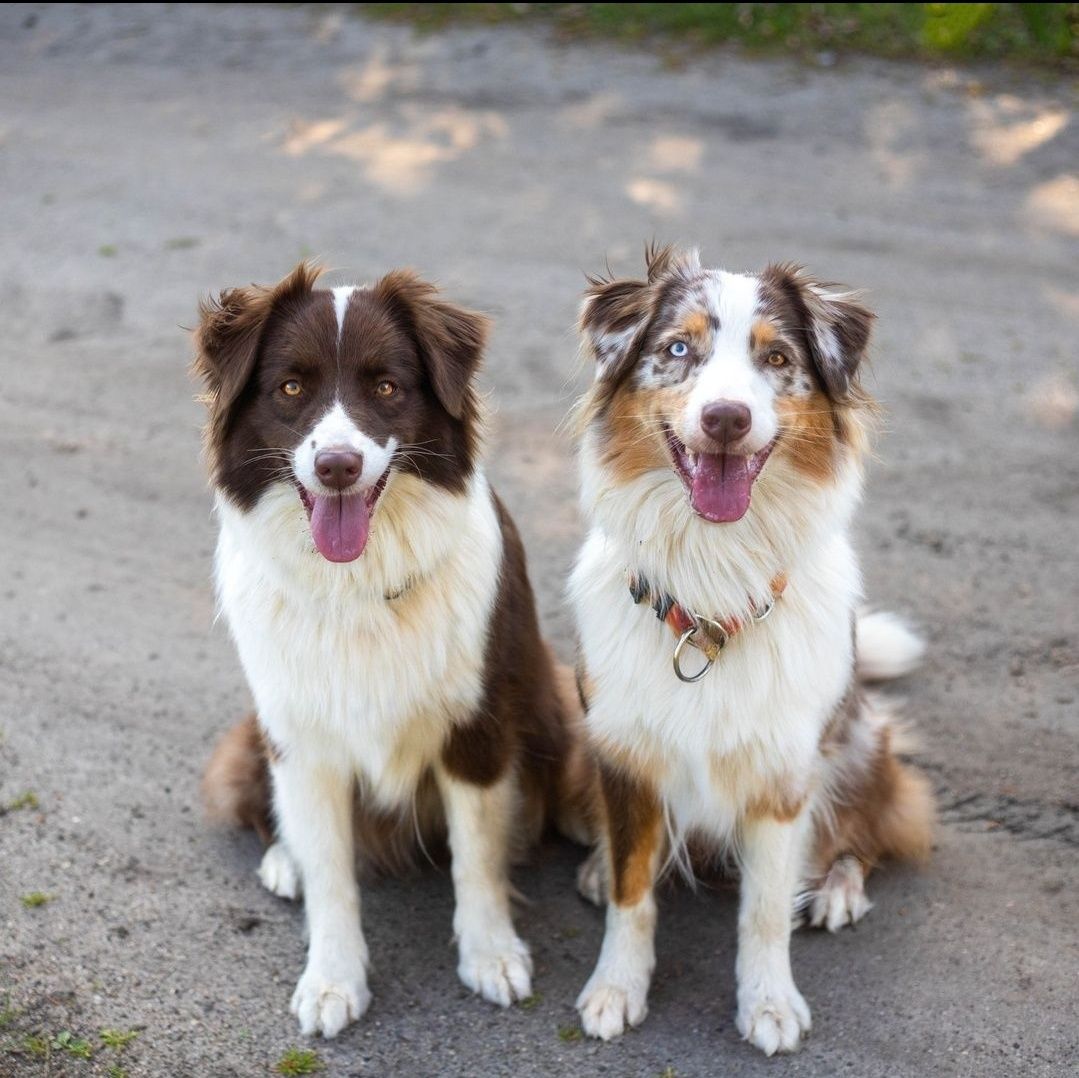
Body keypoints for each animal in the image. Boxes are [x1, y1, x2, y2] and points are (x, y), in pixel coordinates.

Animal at [197, 261, 595, 1035]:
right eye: (290, 388)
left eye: (386, 387)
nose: (338, 466)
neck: (355, 584)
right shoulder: (301, 737)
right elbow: (331, 872)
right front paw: (332, 978)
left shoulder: (476, 726)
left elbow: (476, 854)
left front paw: (490, 953)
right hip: (256, 734)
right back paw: (283, 860)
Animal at [569, 247, 932, 1053]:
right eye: (678, 349)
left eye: (777, 358)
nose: (726, 418)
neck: (712, 585)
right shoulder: (625, 751)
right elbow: (634, 892)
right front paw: (615, 986)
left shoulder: (783, 772)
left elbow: (764, 911)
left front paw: (768, 1004)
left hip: (860, 740)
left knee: (874, 827)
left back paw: (836, 889)